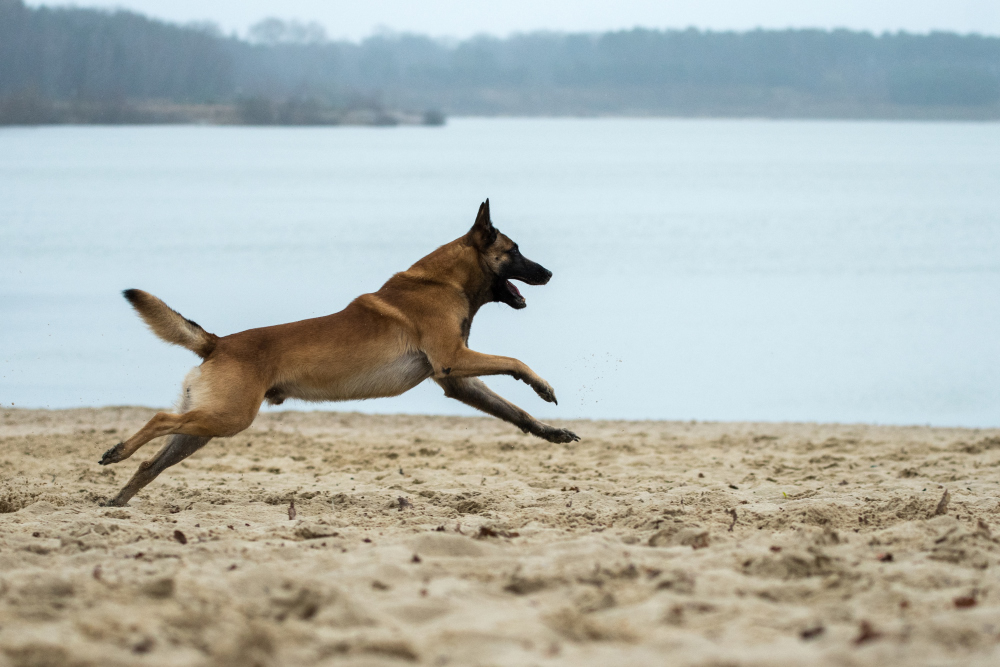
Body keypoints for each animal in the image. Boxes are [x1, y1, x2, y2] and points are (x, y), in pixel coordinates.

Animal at [100, 198, 580, 506]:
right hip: (227, 417)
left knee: (153, 463)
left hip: (204, 427)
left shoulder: (455, 380)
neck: (442, 281)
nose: (550, 273)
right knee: (159, 420)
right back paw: (117, 452)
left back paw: (118, 500)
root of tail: (217, 342)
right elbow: (515, 362)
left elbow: (513, 411)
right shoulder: (453, 360)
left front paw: (550, 431)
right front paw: (543, 386)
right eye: (514, 251)